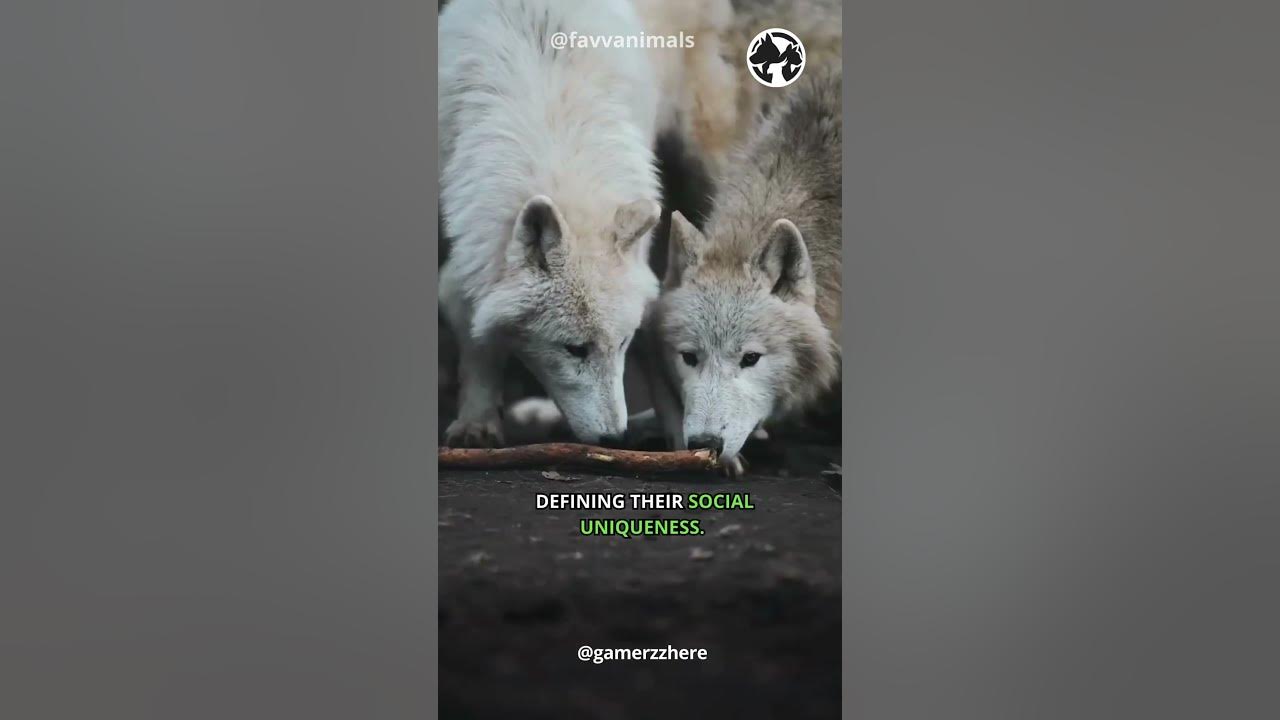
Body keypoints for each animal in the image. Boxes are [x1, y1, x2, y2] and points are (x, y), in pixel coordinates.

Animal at [437, 0, 663, 447]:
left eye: (622, 343)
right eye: (575, 349)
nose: (616, 439)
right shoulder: (470, 252)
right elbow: (476, 335)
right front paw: (476, 423)